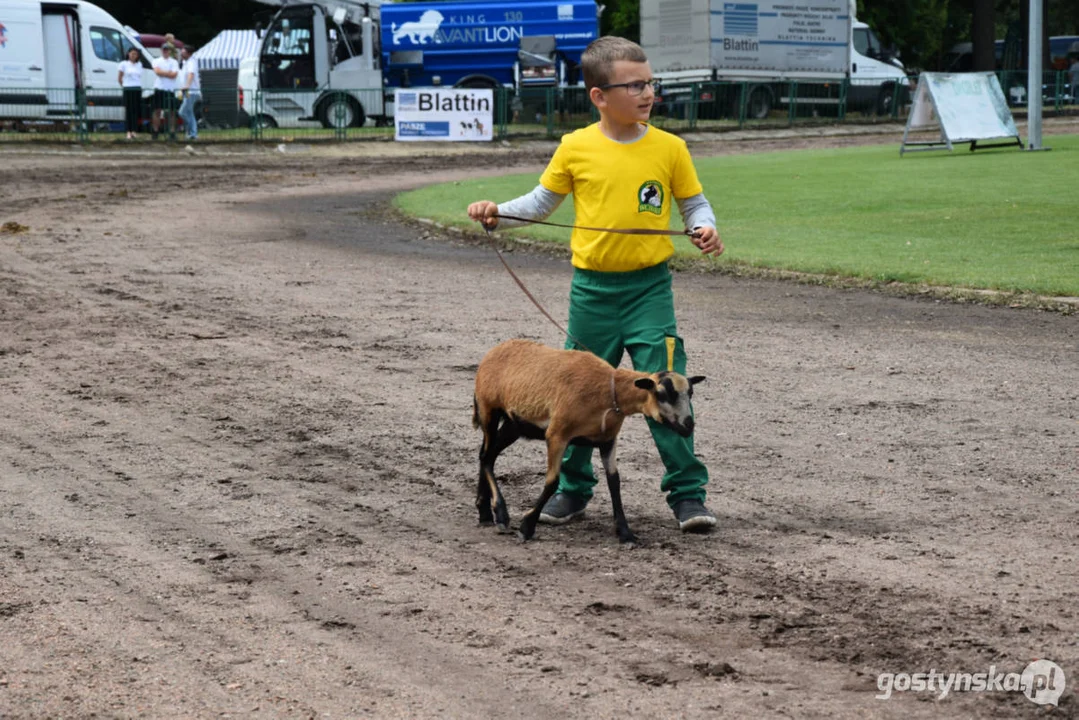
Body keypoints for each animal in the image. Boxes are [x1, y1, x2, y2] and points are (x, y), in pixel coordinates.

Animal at [470, 341, 703, 544]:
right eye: (661, 394)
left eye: (690, 393)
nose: (688, 425)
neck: (610, 393)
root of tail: (494, 351)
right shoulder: (557, 434)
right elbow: (552, 482)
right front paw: (527, 527)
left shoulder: (608, 440)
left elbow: (614, 483)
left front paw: (625, 533)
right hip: (489, 409)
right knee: (487, 457)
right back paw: (500, 514)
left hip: (514, 423)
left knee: (486, 455)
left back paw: (485, 512)